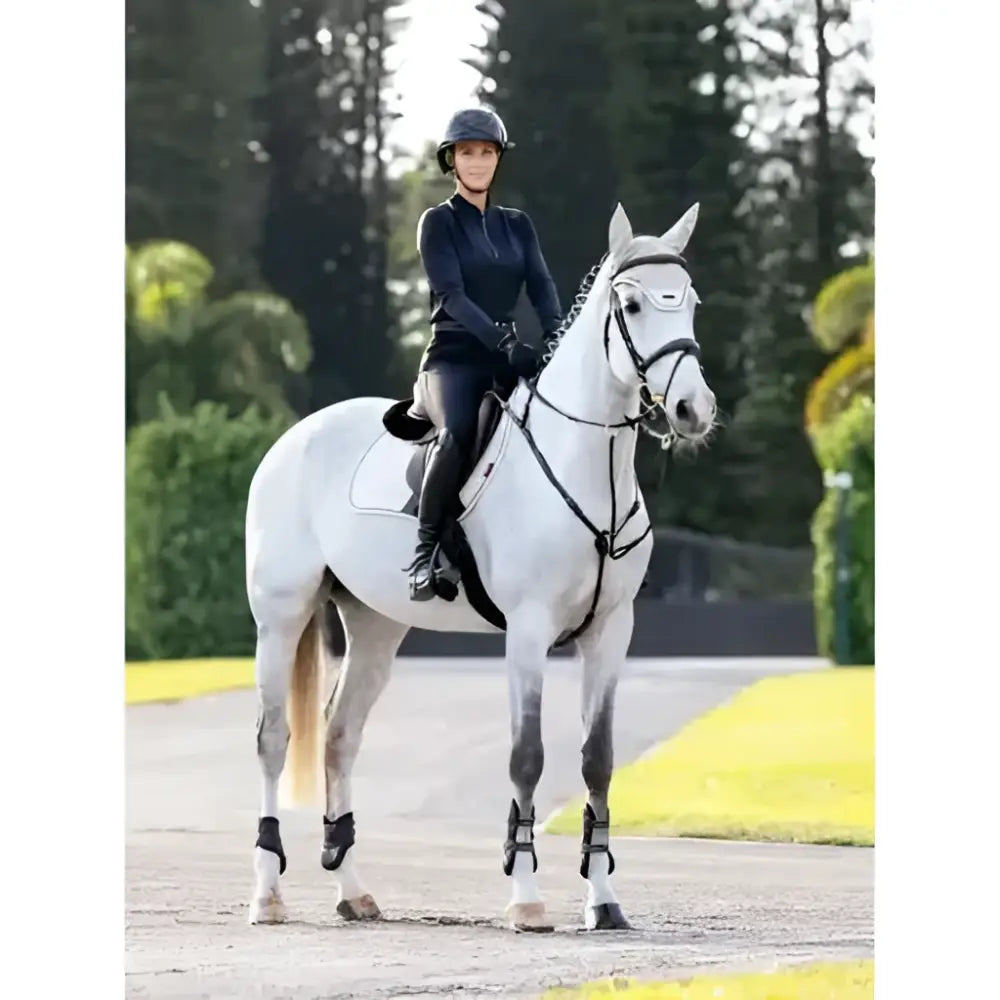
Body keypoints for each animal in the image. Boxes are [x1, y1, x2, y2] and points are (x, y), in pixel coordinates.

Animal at [245, 201, 717, 932]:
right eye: (633, 305)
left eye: (689, 301)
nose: (695, 410)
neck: (587, 464)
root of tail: (294, 437)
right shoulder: (528, 631)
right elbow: (527, 758)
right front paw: (525, 899)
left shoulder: (612, 633)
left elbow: (597, 761)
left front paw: (603, 901)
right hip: (281, 616)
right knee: (274, 738)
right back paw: (268, 894)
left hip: (374, 628)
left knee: (339, 737)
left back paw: (354, 891)